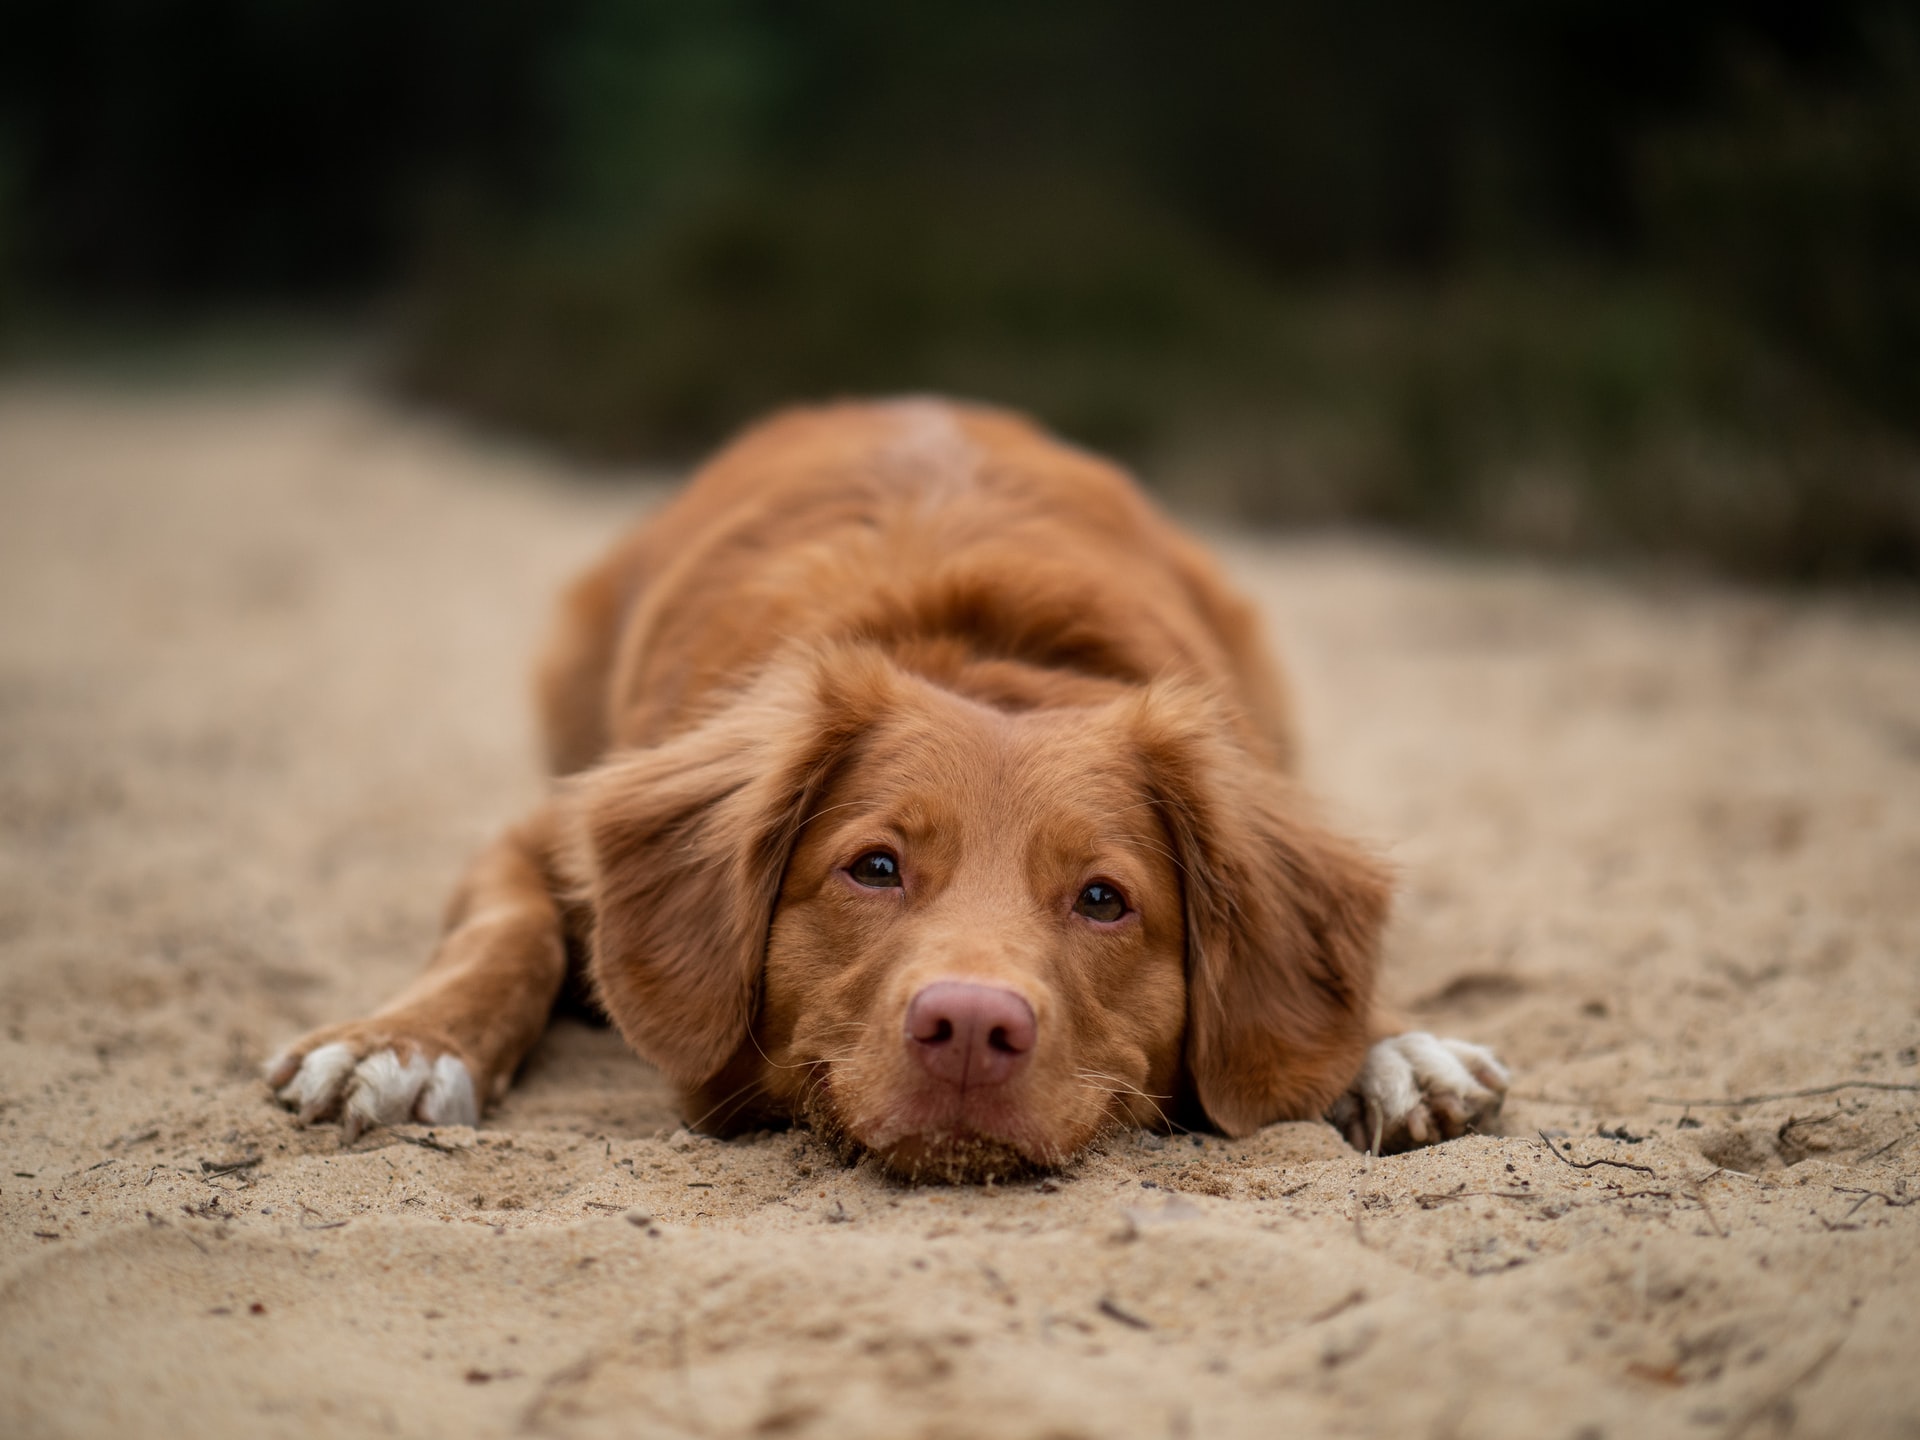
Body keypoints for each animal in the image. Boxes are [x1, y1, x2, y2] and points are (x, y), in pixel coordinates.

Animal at [266, 401, 1497, 1175]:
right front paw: (403, 1041)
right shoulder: (544, 833)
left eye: (1105, 899)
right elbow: (505, 934)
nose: (971, 1028)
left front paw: (1390, 1042)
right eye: (874, 868)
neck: (978, 653)